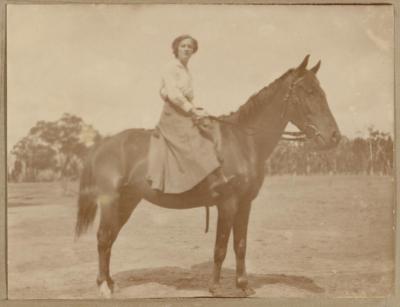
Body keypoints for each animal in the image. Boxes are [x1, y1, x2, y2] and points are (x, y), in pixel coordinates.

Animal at [75, 55, 340, 298]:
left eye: (321, 92)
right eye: (309, 92)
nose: (334, 137)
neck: (242, 142)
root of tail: (103, 145)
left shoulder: (245, 205)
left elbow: (240, 245)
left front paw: (244, 286)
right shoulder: (227, 203)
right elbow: (220, 247)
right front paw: (215, 288)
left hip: (127, 202)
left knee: (110, 238)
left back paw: (110, 283)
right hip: (110, 201)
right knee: (103, 238)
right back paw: (103, 286)